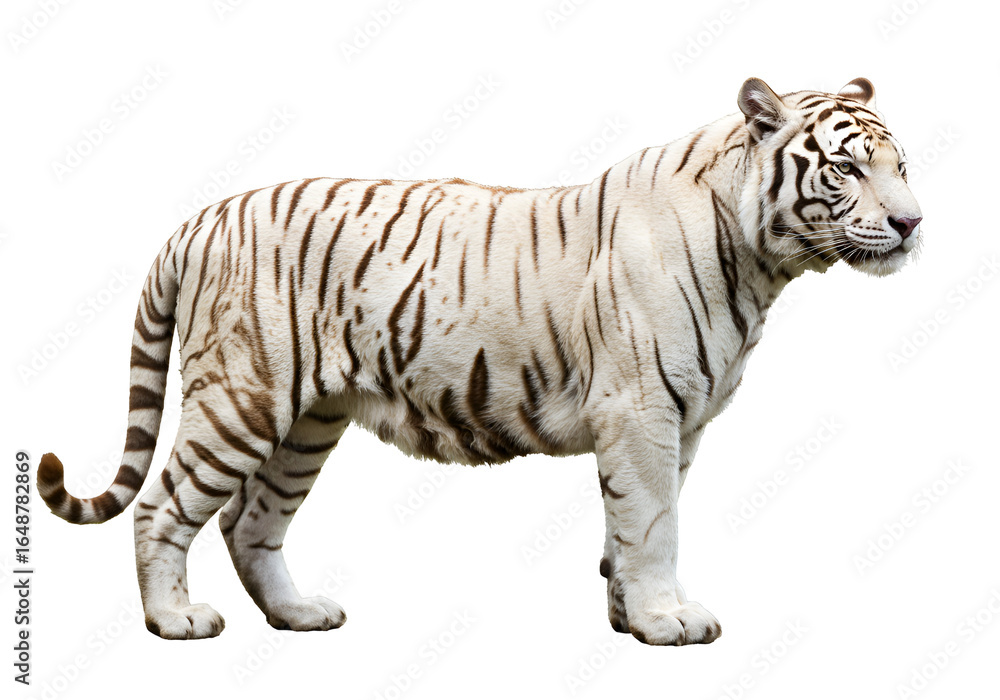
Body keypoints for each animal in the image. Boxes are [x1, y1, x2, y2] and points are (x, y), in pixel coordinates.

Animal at [38, 77, 921, 644]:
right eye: (847, 167)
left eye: (902, 166)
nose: (913, 223)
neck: (762, 262)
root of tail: (202, 217)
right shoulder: (642, 411)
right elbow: (655, 524)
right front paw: (668, 621)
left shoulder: (680, 420)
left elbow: (632, 524)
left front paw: (628, 615)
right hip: (240, 398)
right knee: (164, 508)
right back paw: (175, 621)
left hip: (309, 421)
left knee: (248, 522)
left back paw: (300, 615)